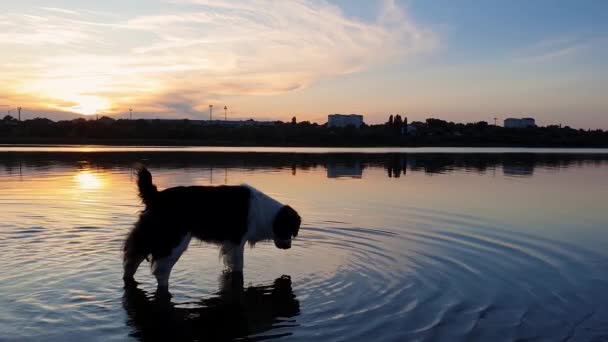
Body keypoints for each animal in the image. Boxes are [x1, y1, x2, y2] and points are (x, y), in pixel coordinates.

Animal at [124, 167, 302, 290]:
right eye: (290, 229)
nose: (288, 247)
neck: (267, 214)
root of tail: (156, 195)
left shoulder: (230, 244)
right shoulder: (237, 241)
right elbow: (238, 266)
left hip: (146, 236)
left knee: (131, 260)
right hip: (174, 241)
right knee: (161, 270)